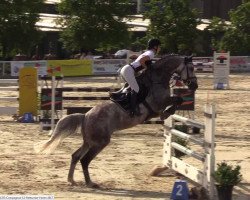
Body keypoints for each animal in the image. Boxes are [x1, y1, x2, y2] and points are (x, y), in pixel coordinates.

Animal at [34, 54, 197, 188]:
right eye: (191, 68)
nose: (194, 85)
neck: (157, 80)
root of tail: (85, 116)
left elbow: (178, 100)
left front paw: (168, 113)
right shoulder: (158, 104)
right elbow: (177, 99)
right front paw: (166, 113)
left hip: (90, 142)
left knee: (75, 156)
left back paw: (71, 180)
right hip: (100, 142)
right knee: (84, 160)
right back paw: (90, 183)